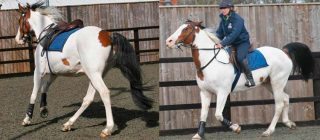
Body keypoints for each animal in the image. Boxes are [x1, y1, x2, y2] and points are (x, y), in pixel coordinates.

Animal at [15, 1, 153, 138]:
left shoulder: (38, 72)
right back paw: (68, 124)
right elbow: (45, 87)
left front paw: (27, 119)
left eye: (20, 20)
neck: (45, 34)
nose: (18, 39)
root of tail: (108, 35)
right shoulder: (54, 73)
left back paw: (107, 128)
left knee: (104, 93)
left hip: (94, 74)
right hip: (95, 75)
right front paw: (43, 109)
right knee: (88, 99)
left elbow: (33, 94)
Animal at [166, 20, 314, 138]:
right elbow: (203, 114)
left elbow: (218, 114)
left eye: (185, 29)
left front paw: (236, 128)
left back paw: (269, 131)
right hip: (269, 84)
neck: (210, 61)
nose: (169, 41)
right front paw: (199, 134)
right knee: (286, 98)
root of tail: (284, 52)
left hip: (277, 82)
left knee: (279, 104)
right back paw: (289, 123)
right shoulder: (205, 93)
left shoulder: (222, 92)